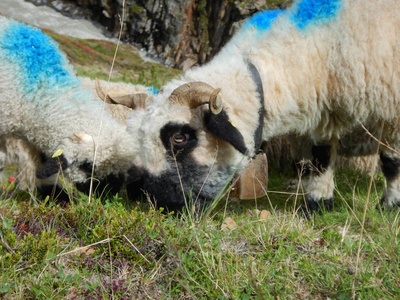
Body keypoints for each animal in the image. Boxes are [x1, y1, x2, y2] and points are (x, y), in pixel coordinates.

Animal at [128, 0, 400, 213]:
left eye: (179, 137)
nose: (159, 204)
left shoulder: (392, 113)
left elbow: (391, 161)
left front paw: (390, 204)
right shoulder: (325, 114)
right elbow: (320, 158)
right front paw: (314, 200)